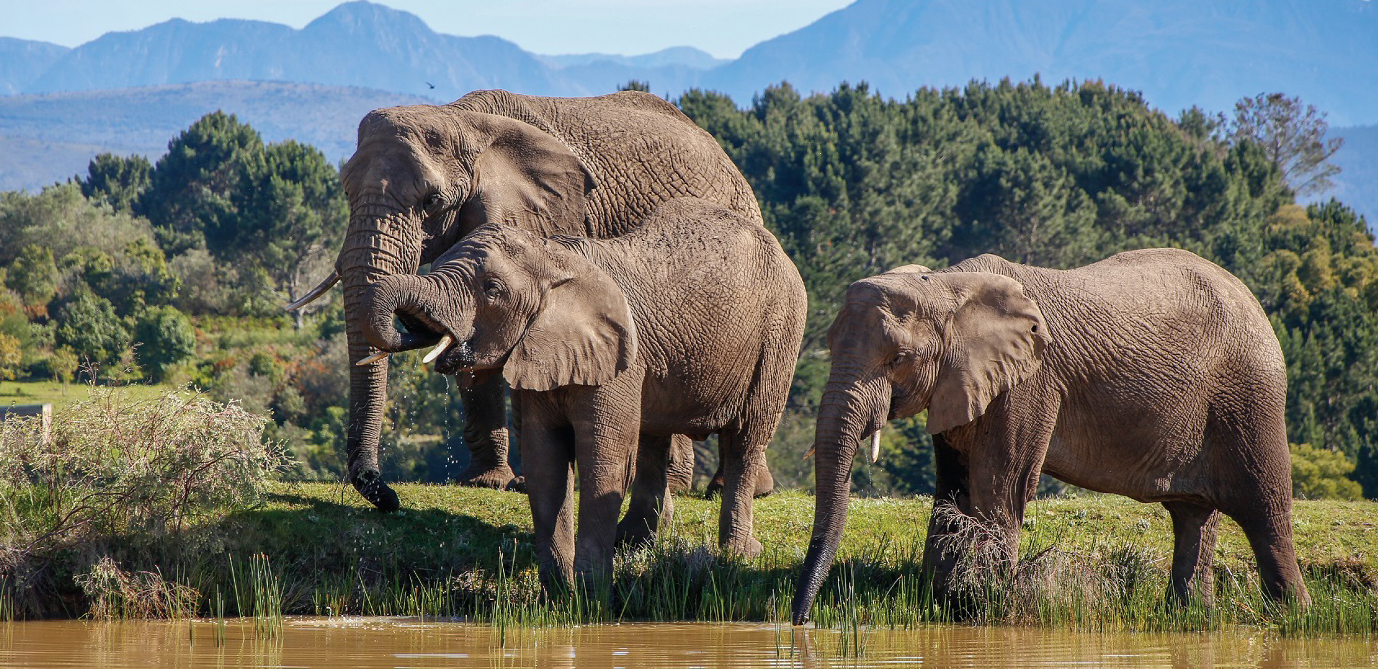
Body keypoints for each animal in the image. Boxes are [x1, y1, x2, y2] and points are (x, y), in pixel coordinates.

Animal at [285, 89, 765, 511]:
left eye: (431, 201)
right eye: (346, 191)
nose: (388, 498)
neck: (462, 121)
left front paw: (518, 483)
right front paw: (486, 482)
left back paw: (715, 488)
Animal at [358, 197, 806, 588]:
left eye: (492, 289)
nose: (391, 501)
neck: (554, 258)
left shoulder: (619, 358)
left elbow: (602, 459)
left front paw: (591, 591)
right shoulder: (537, 351)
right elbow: (545, 459)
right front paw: (557, 589)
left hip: (779, 335)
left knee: (745, 440)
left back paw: (738, 554)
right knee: (653, 438)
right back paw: (633, 544)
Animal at [791, 248, 1310, 625]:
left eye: (897, 358)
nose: (800, 622)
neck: (946, 285)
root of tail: (1251, 299)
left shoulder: (1030, 382)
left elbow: (1000, 485)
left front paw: (985, 610)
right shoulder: (960, 383)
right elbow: (952, 489)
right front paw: (942, 607)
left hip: (1250, 395)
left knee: (1264, 510)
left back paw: (1294, 616)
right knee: (1192, 515)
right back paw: (1190, 617)